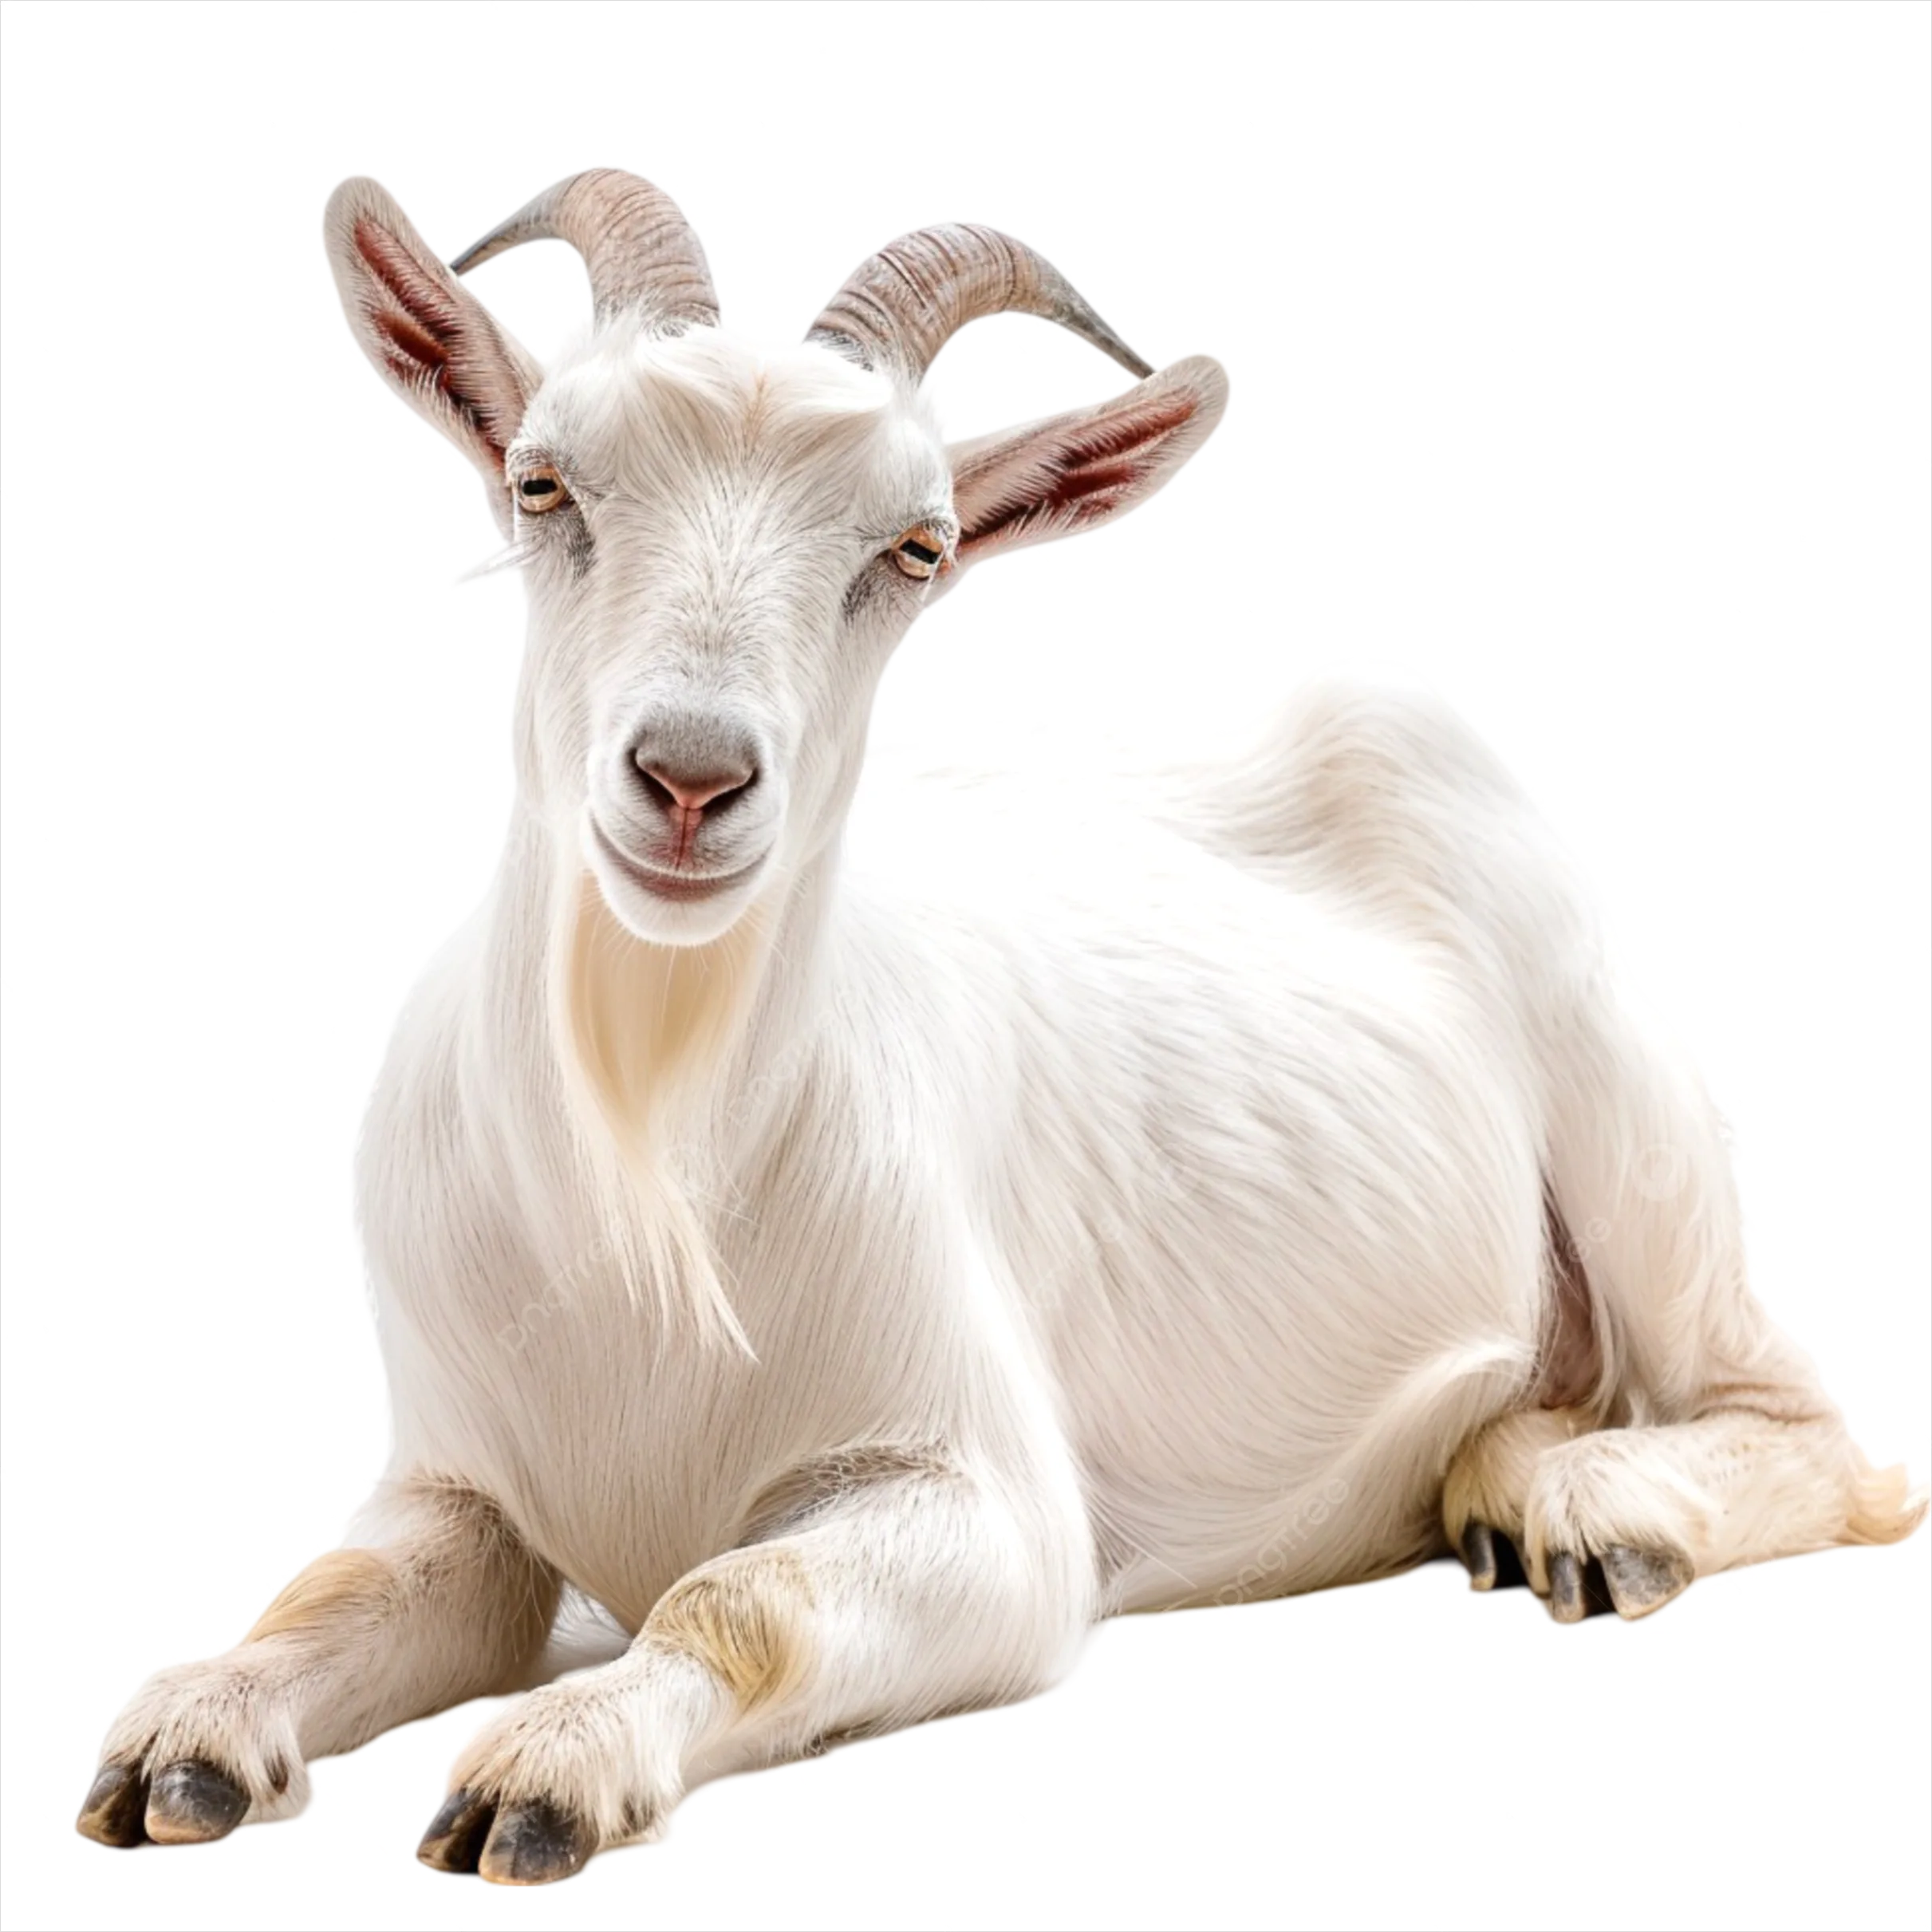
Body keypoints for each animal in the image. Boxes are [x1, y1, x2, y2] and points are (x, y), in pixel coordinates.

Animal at [76, 165, 1926, 1887]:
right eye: (543, 480)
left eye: (907, 547)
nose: (690, 777)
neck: (646, 1175)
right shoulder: (458, 1470)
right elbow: (339, 1585)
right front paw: (183, 1742)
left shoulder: (993, 1507)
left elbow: (742, 1597)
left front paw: (554, 1767)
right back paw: (1492, 1461)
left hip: (1624, 1111)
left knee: (1813, 1432)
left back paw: (1579, 1510)